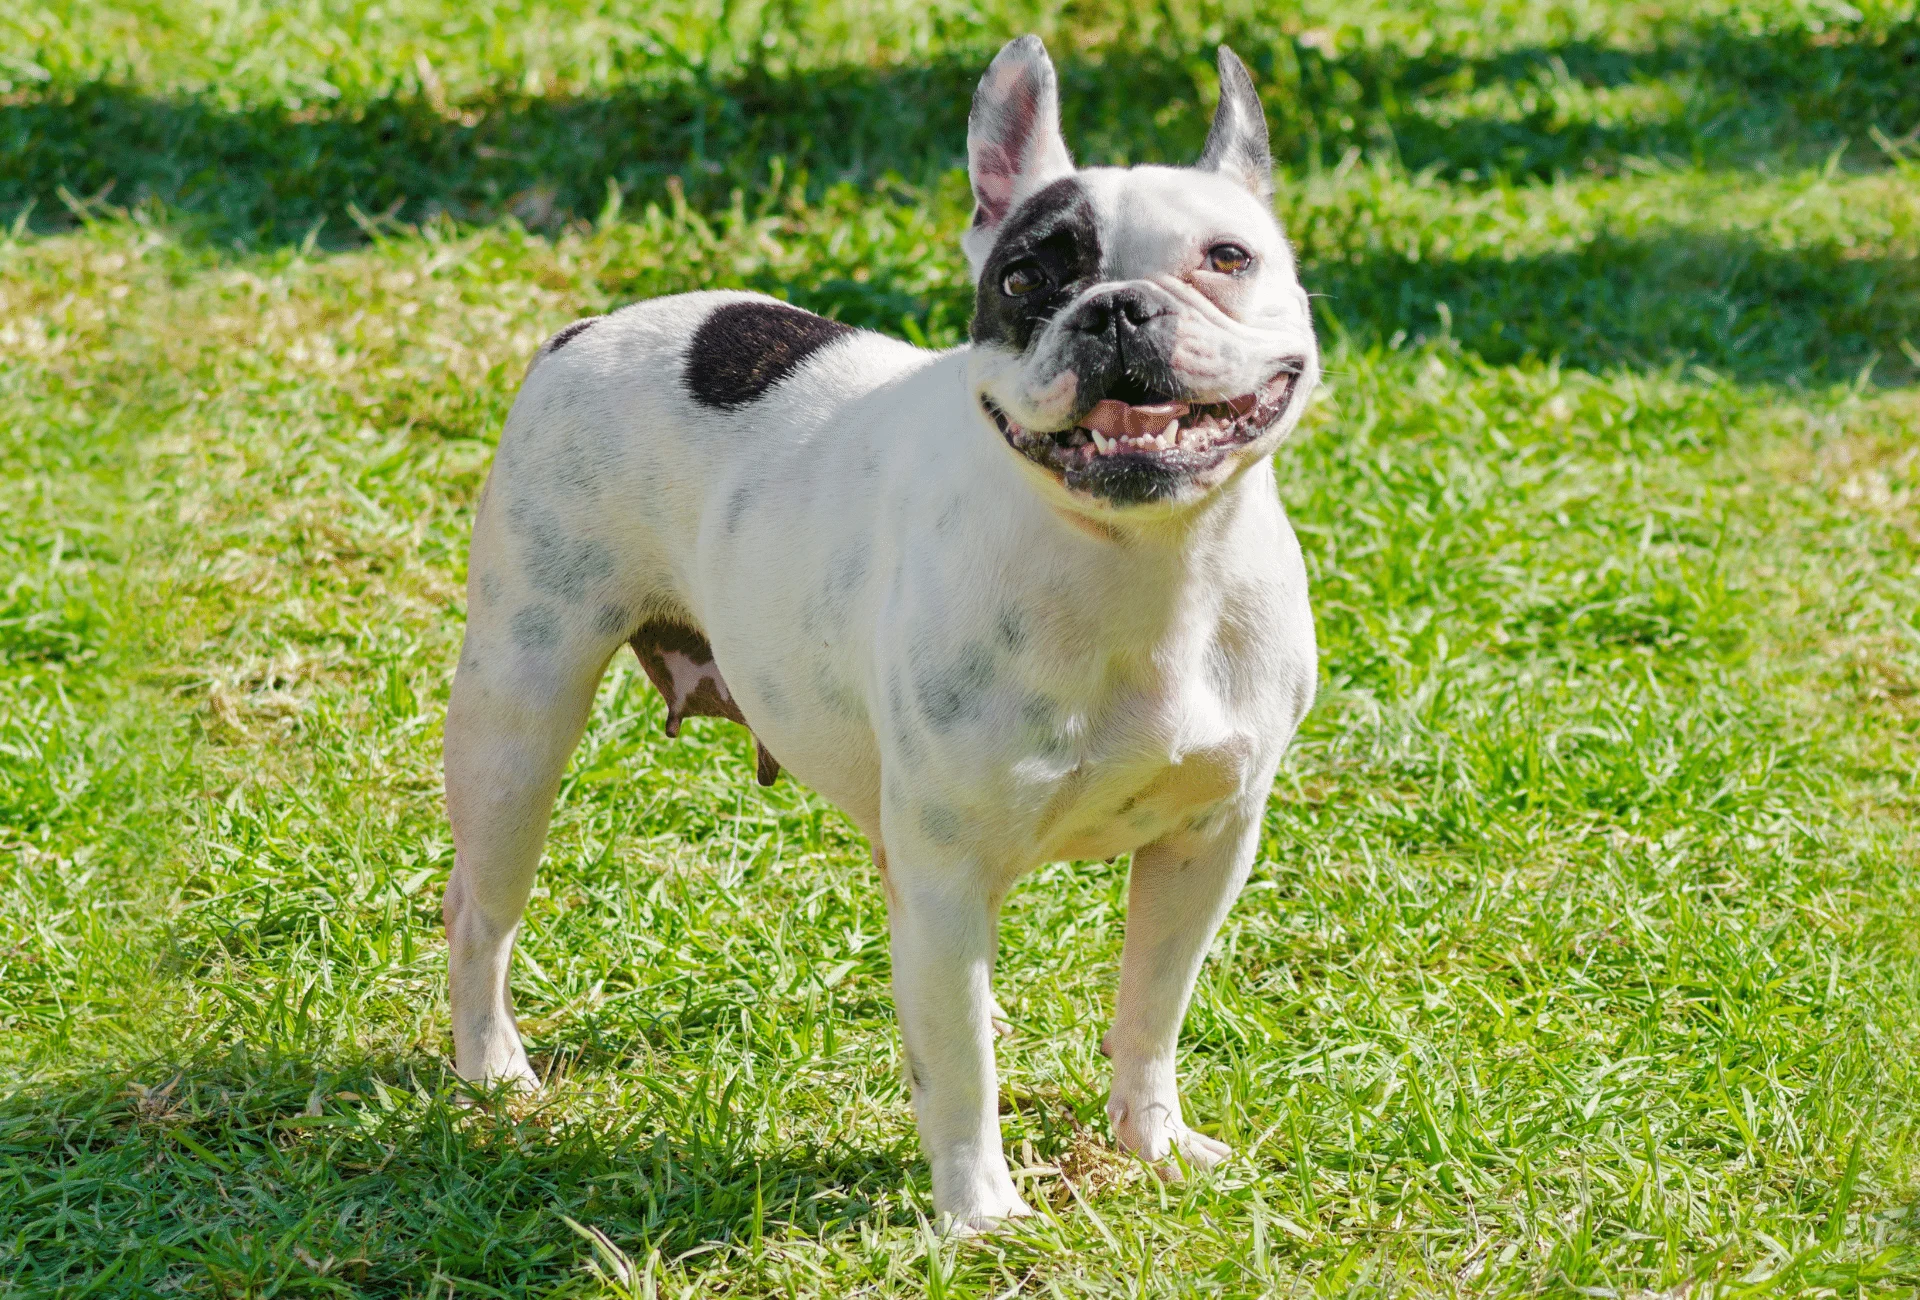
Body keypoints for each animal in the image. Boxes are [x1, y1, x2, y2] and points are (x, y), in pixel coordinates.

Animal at [443, 37, 1320, 1228]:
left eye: (1227, 259)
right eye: (1024, 279)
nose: (1117, 309)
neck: (1143, 562)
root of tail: (586, 330)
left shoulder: (1207, 842)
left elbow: (1152, 1005)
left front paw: (1153, 1142)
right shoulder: (950, 870)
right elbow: (958, 1065)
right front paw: (981, 1214)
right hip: (519, 715)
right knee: (482, 908)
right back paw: (491, 1068)